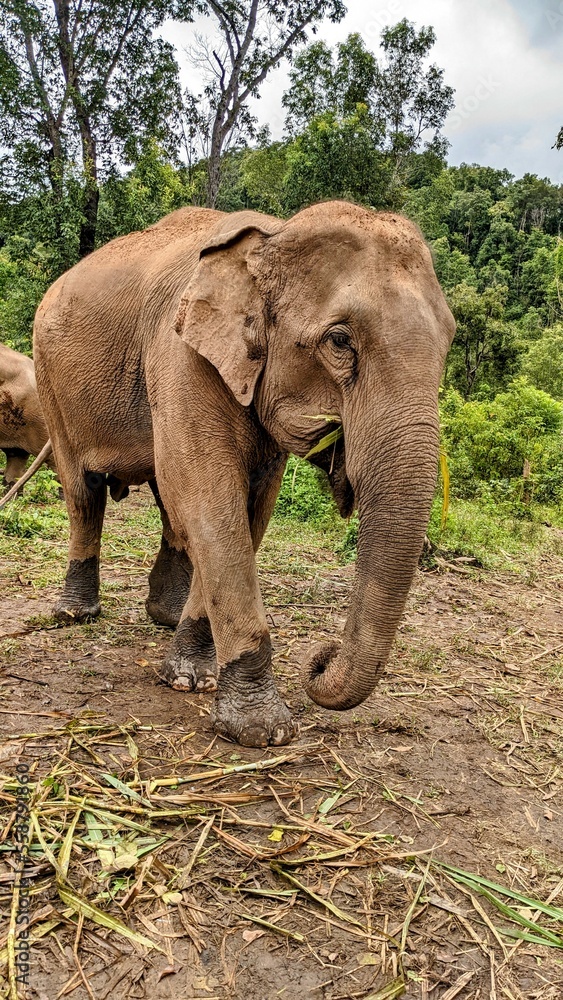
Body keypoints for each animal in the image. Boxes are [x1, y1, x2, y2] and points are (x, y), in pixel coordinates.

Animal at [33, 201, 455, 747]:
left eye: (449, 342)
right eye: (340, 341)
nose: (320, 659)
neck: (273, 235)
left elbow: (249, 509)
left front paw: (192, 674)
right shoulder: (181, 353)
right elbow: (211, 497)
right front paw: (263, 730)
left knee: (168, 506)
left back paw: (164, 617)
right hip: (49, 380)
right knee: (84, 493)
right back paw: (74, 615)